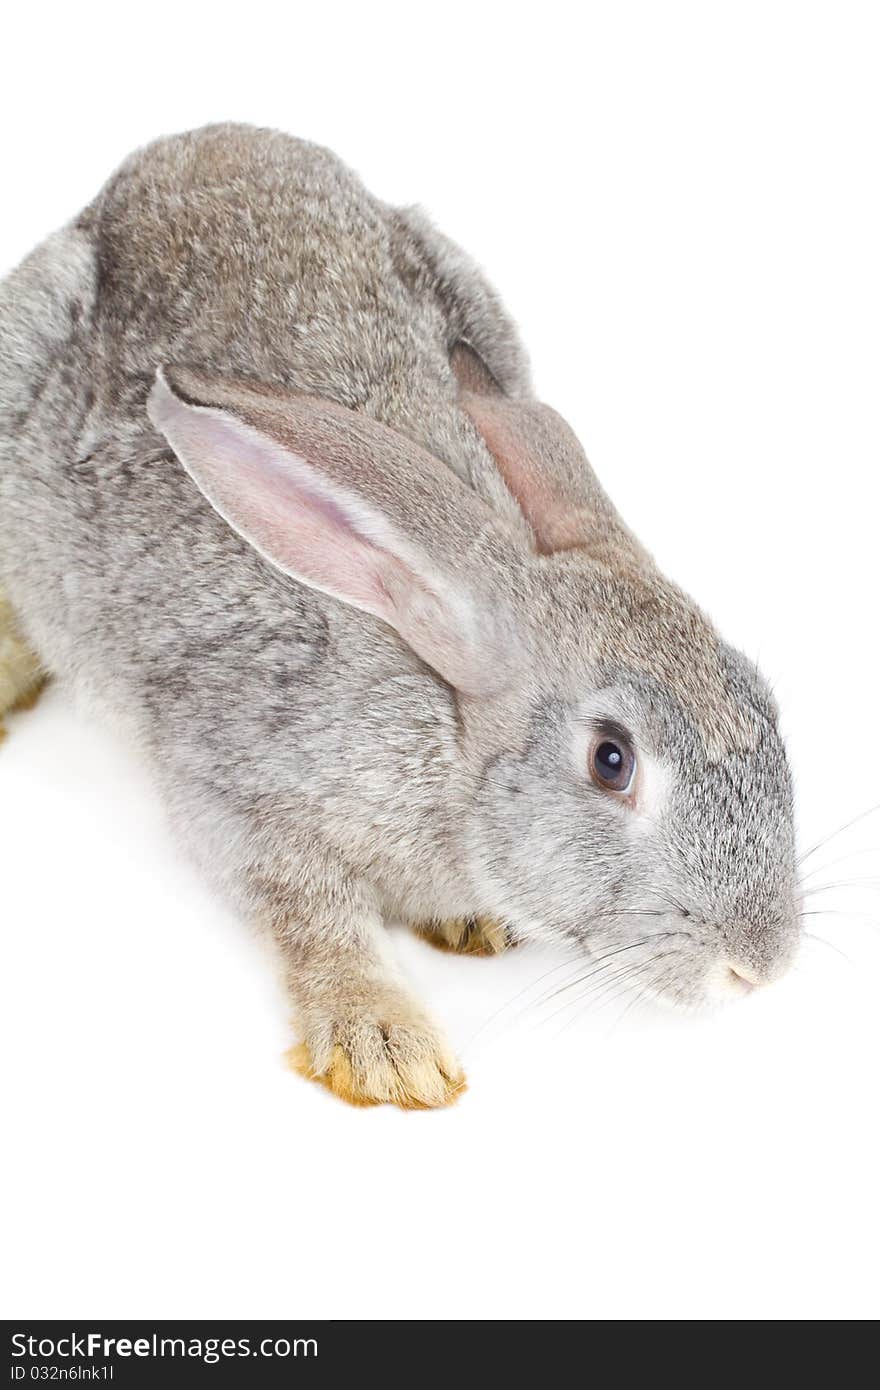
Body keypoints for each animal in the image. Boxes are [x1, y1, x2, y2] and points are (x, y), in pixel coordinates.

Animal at [0, 127, 800, 1106]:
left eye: (764, 704)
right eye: (612, 761)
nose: (762, 966)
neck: (447, 732)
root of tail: (187, 149)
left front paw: (470, 929)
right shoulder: (238, 785)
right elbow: (309, 912)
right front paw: (387, 1047)